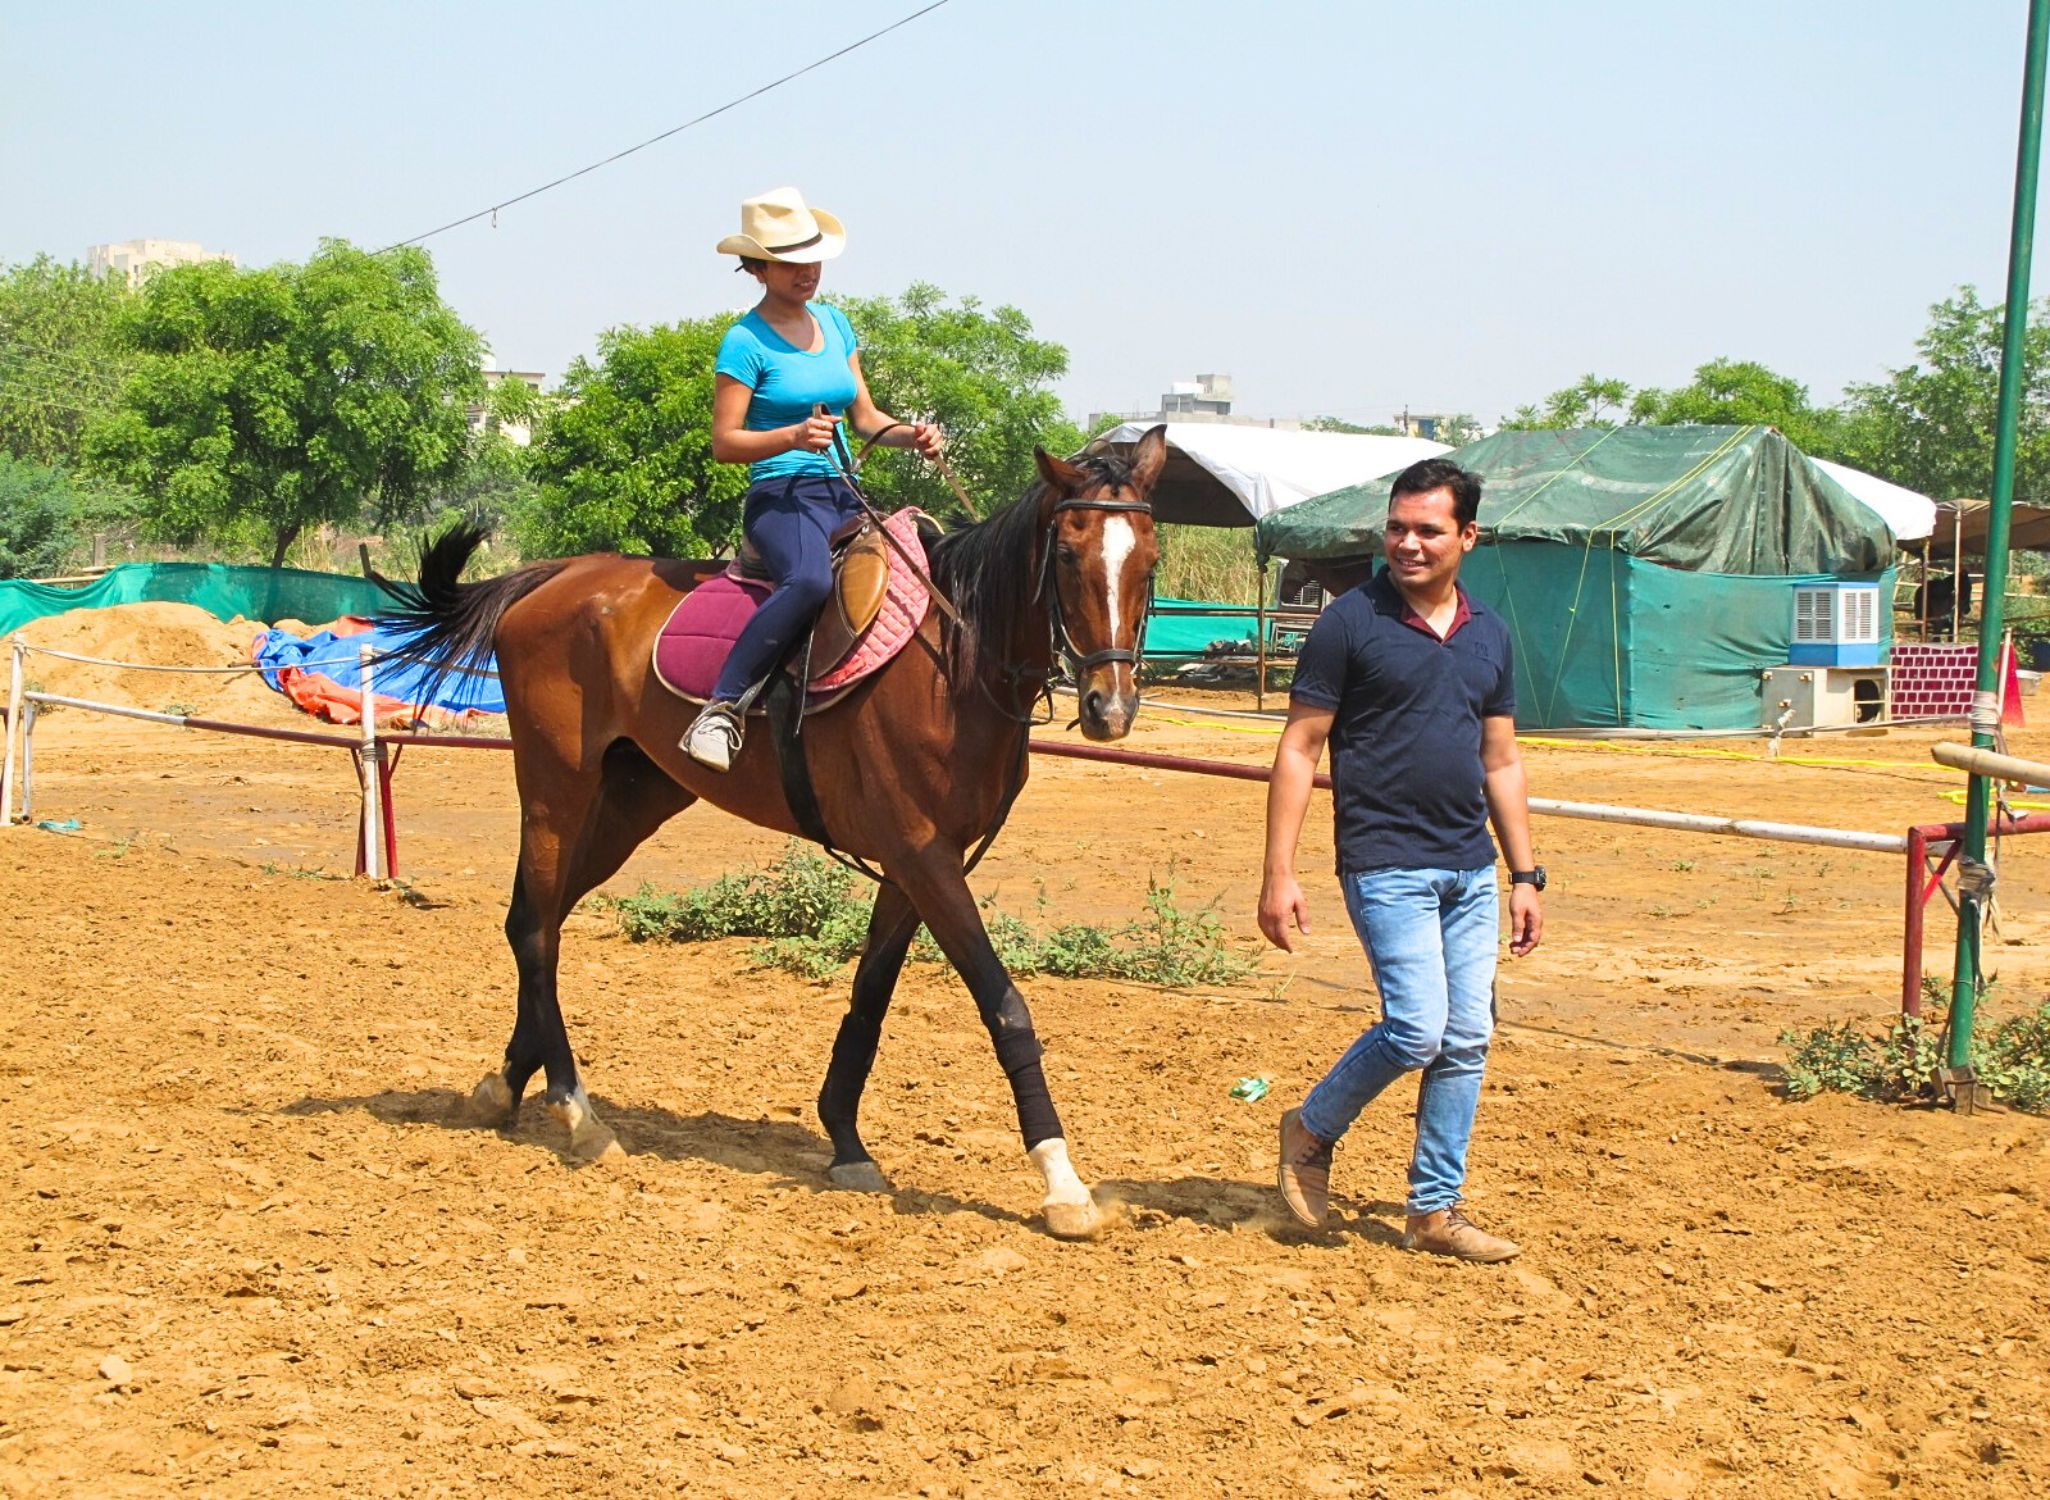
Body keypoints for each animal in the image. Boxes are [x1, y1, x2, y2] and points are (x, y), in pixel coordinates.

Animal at [375, 428, 1164, 1237]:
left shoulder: (914, 867)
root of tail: (554, 577)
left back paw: (504, 1086)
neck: (953, 662)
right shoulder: (924, 856)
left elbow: (870, 996)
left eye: (1150, 559)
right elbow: (1005, 1006)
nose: (1110, 707)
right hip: (555, 790)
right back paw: (576, 1113)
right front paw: (1062, 1182)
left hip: (629, 803)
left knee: (537, 920)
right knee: (536, 932)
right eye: (1066, 554)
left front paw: (845, 1142)